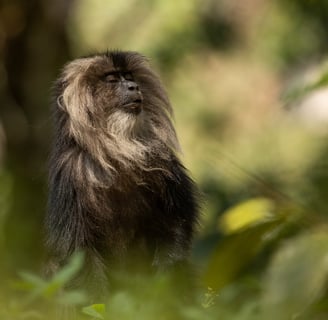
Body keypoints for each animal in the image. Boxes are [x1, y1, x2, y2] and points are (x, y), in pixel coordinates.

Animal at [45, 50, 200, 300]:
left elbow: (175, 223)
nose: (133, 87)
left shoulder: (163, 163)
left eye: (128, 76)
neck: (115, 152)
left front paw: (163, 285)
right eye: (111, 79)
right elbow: (78, 254)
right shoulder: (71, 172)